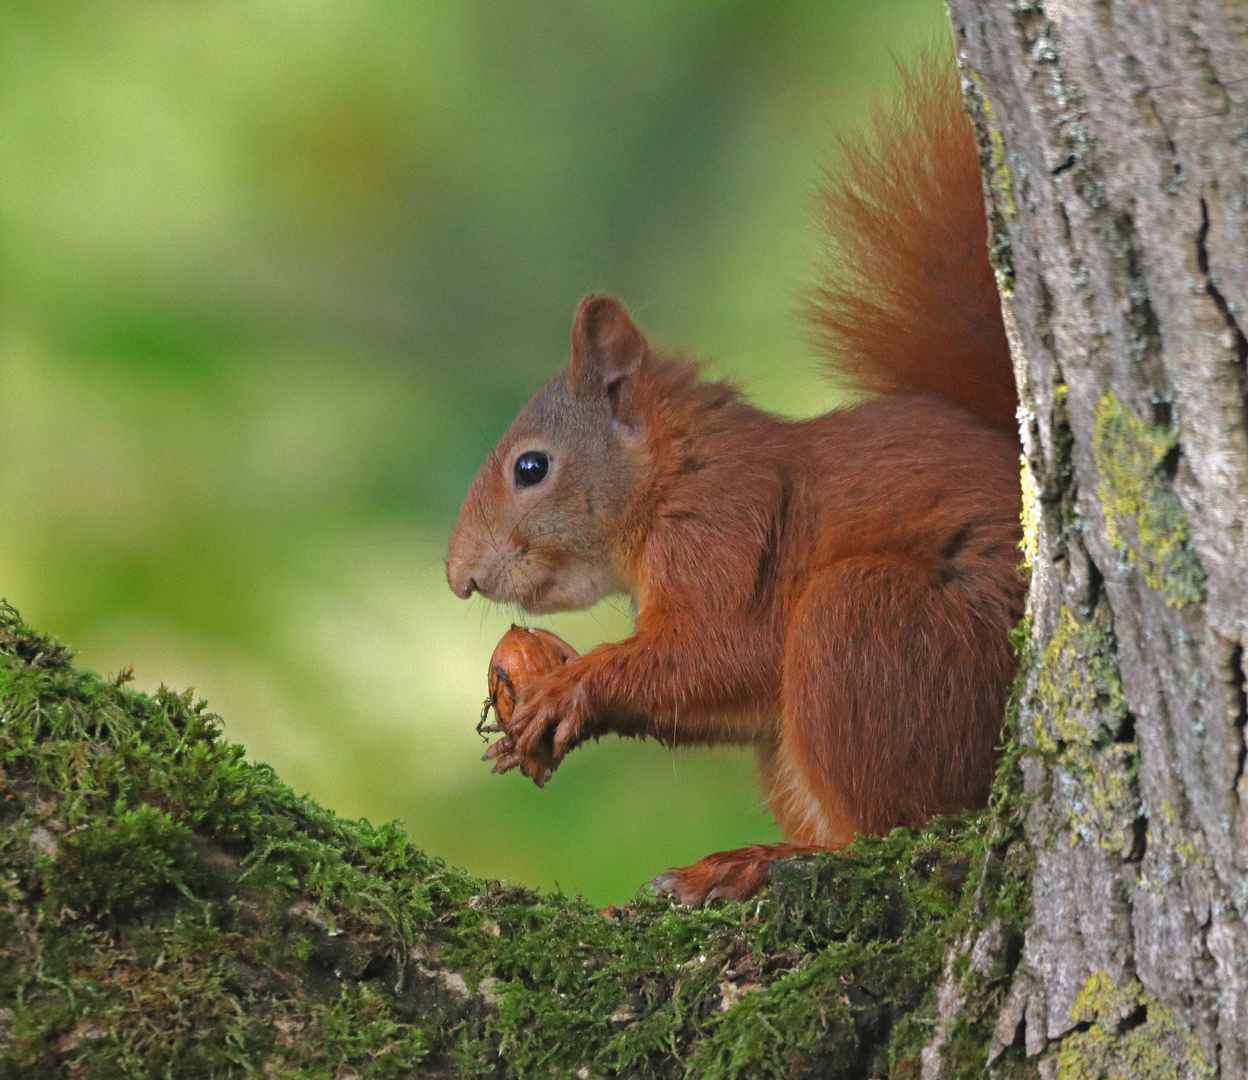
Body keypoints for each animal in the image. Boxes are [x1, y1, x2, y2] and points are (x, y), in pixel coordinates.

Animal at [446, 54, 1023, 903]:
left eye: (530, 467)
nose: (459, 577)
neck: (676, 474)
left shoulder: (726, 527)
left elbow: (726, 652)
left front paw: (565, 689)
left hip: (872, 631)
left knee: (890, 827)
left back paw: (760, 861)